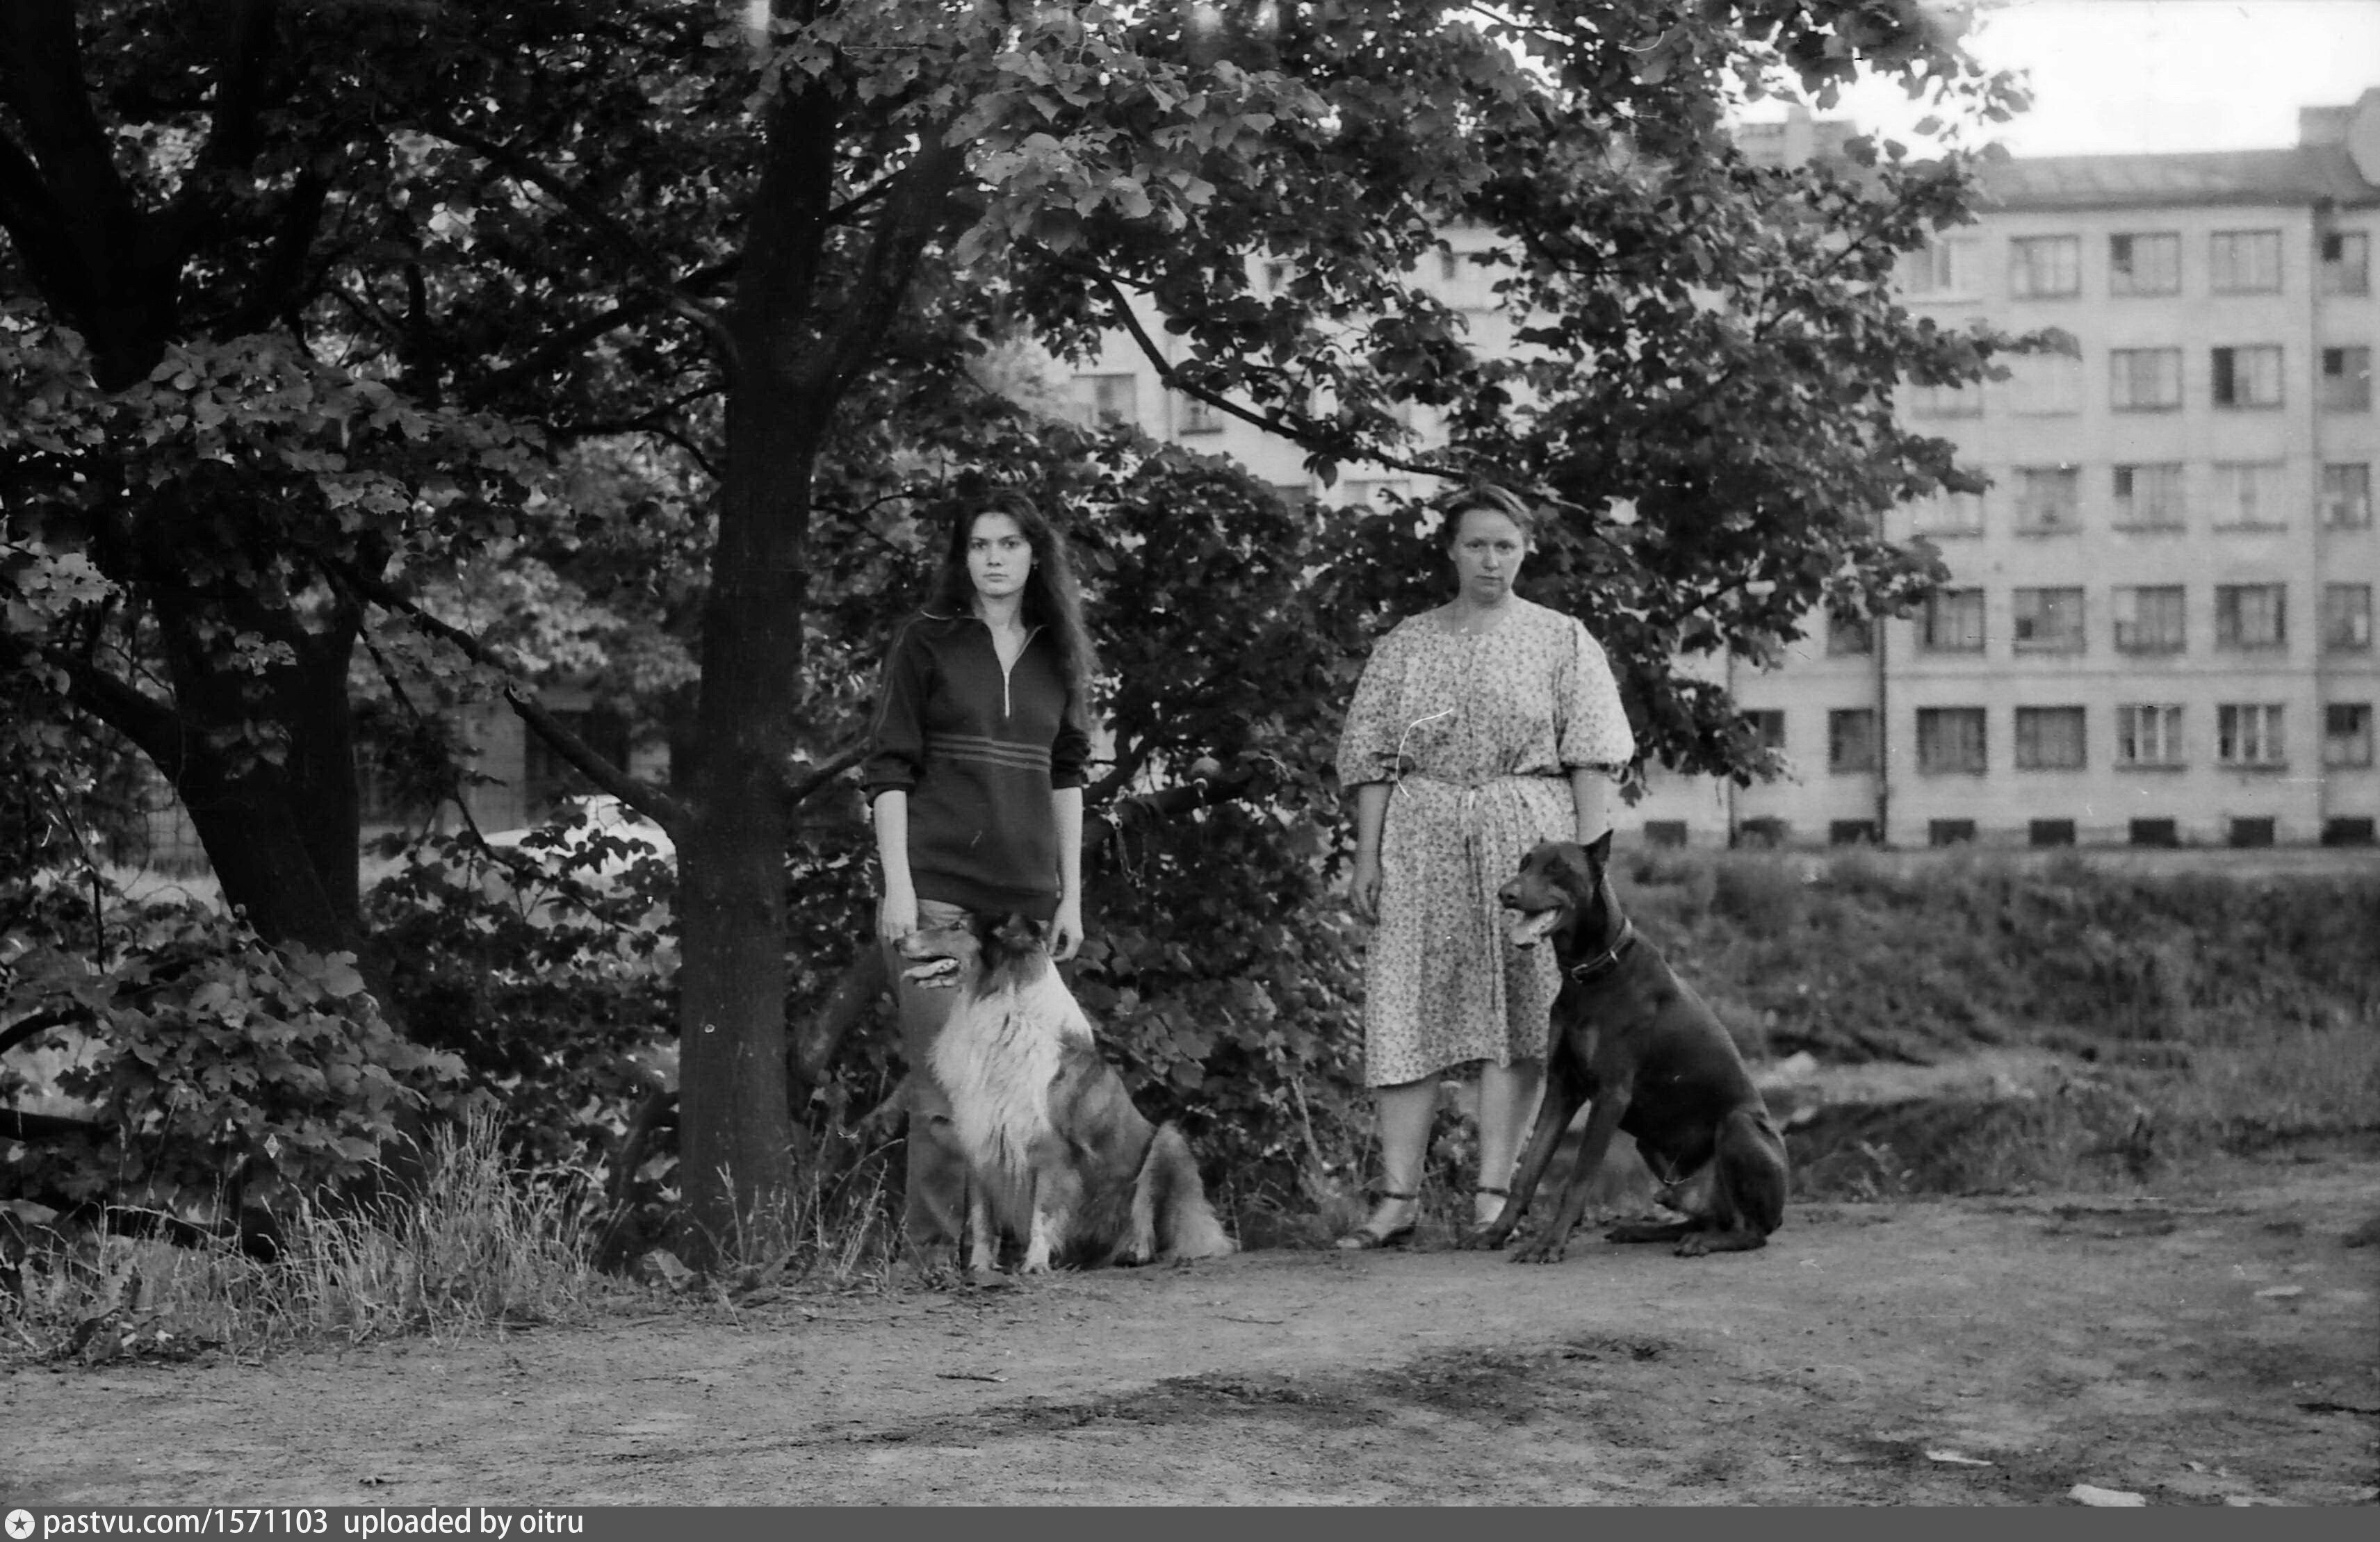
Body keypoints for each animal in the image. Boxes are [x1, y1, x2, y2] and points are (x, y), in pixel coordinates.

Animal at [894, 911, 1236, 1275]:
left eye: (957, 927)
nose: (898, 940)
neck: (1004, 1009)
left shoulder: (1052, 1148)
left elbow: (1043, 1213)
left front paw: (1034, 1265)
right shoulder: (980, 1140)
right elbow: (983, 1218)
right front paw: (980, 1268)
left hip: (1168, 1143)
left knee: (1157, 1221)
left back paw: (1136, 1251)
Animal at [1475, 833, 1789, 1261]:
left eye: (1558, 867)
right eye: (1525, 863)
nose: (1506, 893)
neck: (1591, 971)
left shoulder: (1612, 1095)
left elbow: (1579, 1179)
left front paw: (1550, 1244)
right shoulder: (1562, 1087)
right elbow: (1529, 1170)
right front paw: (1497, 1232)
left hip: (1740, 1127)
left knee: (1750, 1230)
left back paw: (1705, 1242)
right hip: (1655, 1153)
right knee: (1703, 1218)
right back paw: (1642, 1230)